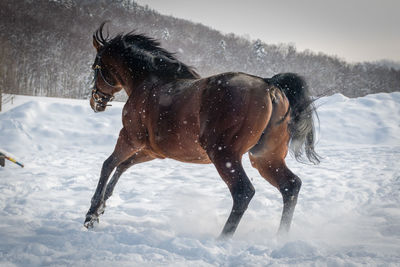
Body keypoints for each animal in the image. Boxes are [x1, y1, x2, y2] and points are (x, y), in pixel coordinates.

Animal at [83, 22, 318, 238]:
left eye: (95, 67)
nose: (95, 102)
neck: (148, 82)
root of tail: (270, 86)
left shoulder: (129, 137)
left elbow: (108, 164)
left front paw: (91, 214)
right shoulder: (152, 151)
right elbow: (122, 166)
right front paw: (101, 208)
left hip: (224, 155)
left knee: (243, 192)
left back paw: (223, 239)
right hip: (265, 157)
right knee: (290, 186)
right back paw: (280, 238)